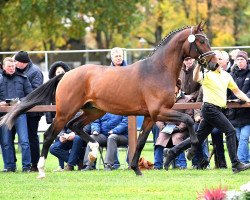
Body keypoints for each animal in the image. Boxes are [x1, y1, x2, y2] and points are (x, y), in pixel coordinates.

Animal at [0, 22, 217, 178]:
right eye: (201, 41)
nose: (214, 64)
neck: (157, 70)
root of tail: (66, 74)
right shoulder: (160, 112)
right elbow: (188, 120)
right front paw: (191, 151)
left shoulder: (150, 116)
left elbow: (140, 141)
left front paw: (136, 169)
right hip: (65, 111)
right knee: (49, 135)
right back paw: (41, 170)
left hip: (94, 110)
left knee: (75, 126)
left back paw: (94, 150)